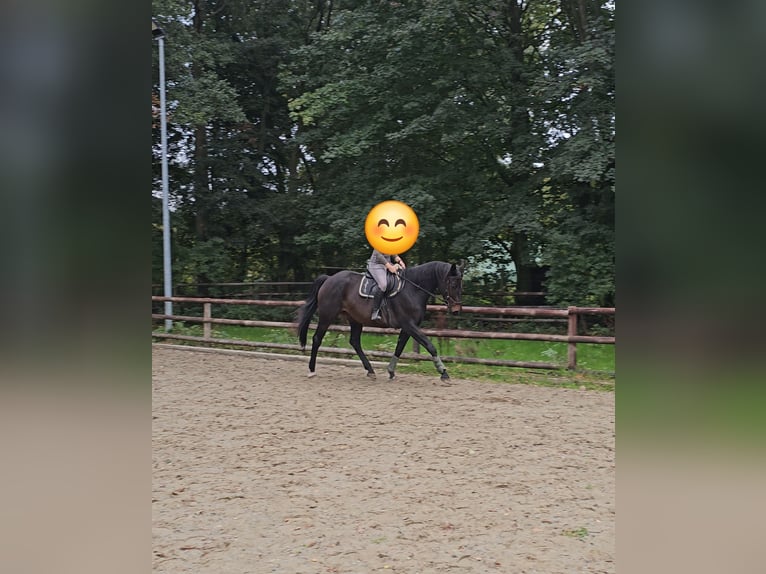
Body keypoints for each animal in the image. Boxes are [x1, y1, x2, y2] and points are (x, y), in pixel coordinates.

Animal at [296, 261, 463, 381]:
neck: (412, 289)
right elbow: (430, 346)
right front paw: (443, 373)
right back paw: (311, 370)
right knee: (317, 339)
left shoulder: (408, 327)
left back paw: (370, 371)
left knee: (355, 342)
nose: (456, 310)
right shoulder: (409, 325)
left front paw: (391, 371)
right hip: (327, 316)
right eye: (453, 284)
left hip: (355, 319)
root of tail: (329, 279)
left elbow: (399, 348)